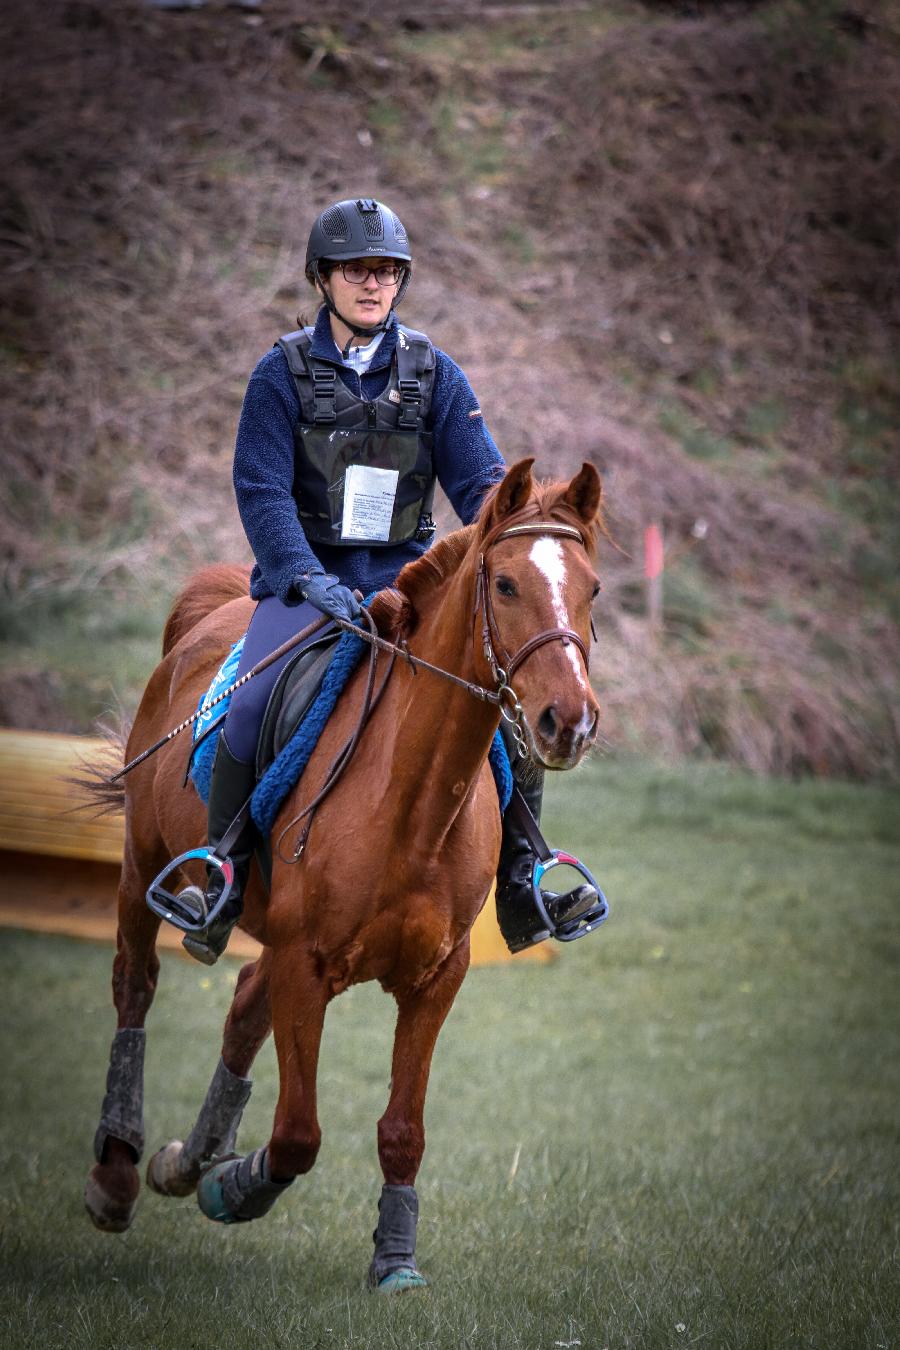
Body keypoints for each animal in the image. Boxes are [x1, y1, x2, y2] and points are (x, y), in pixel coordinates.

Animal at [86, 459, 604, 1290]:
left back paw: (184, 1161)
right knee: (135, 987)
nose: (569, 722)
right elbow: (299, 1132)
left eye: (592, 589)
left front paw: (394, 1260)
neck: (411, 800)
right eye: (505, 585)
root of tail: (215, 607)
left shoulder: (436, 979)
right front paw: (236, 1189)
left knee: (243, 1002)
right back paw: (119, 1172)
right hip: (142, 866)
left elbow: (402, 1130)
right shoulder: (306, 965)